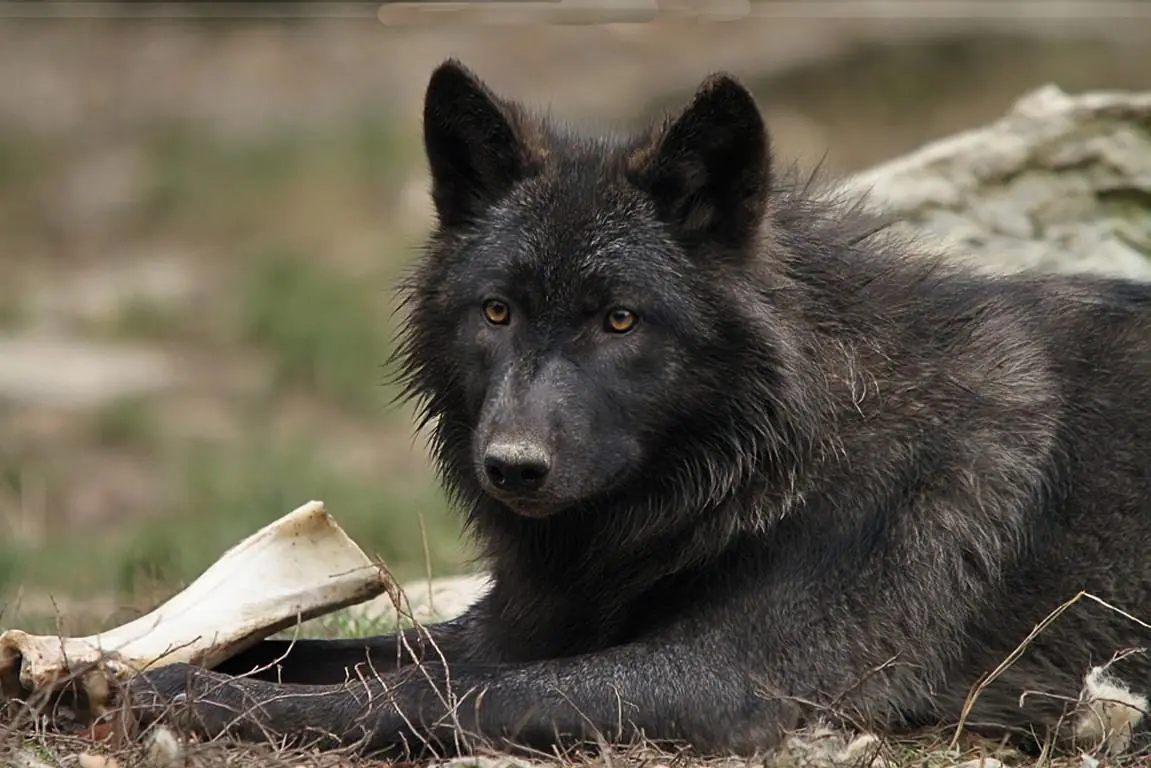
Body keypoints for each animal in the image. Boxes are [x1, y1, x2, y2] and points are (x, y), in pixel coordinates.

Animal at [125, 60, 1151, 758]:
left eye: (619, 318)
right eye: (496, 311)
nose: (511, 466)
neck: (778, 450)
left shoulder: (725, 684)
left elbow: (427, 698)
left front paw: (193, 699)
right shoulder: (517, 626)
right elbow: (319, 653)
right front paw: (120, 666)